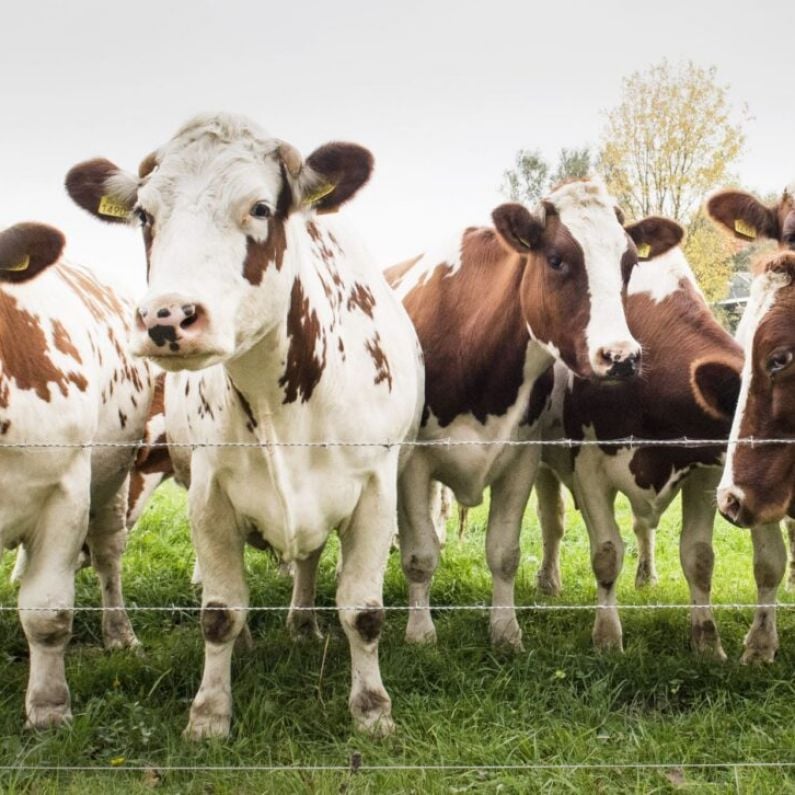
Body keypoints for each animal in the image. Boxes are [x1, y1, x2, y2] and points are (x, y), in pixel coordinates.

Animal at [0, 219, 152, 728]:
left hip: (112, 480)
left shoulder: (63, 492)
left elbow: (47, 614)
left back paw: (120, 635)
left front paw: (48, 708)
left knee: (108, 557)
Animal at [66, 112, 426, 740]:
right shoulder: (209, 493)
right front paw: (210, 712)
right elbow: (219, 611)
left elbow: (363, 611)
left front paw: (372, 709)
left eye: (259, 208)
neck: (279, 397)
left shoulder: (376, 490)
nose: (166, 317)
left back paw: (303, 624)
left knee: (308, 561)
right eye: (145, 216)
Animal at [386, 180, 648, 652]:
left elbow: (504, 552)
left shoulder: (522, 457)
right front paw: (420, 632)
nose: (621, 357)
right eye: (557, 258)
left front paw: (506, 631)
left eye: (630, 262)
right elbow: (420, 554)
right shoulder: (414, 464)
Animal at [536, 229, 776, 660]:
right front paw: (607, 637)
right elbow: (606, 553)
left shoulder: (705, 472)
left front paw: (706, 640)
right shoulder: (589, 469)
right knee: (552, 520)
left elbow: (698, 557)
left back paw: (646, 577)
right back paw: (548, 581)